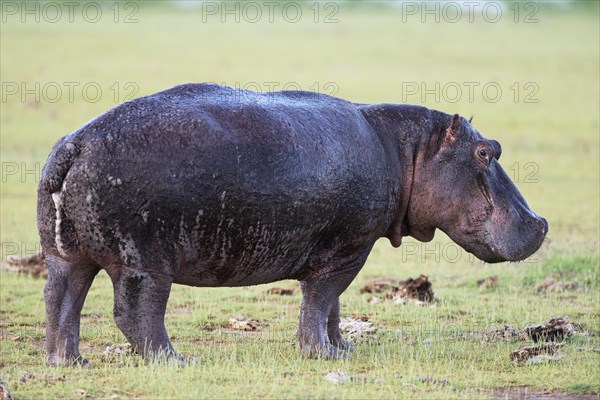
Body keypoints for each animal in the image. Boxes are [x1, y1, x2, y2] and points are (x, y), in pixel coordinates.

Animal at [35, 83, 548, 364]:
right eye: (486, 152)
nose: (541, 223)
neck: (410, 151)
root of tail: (76, 143)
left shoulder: (343, 251)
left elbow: (332, 307)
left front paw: (343, 351)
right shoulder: (348, 251)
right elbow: (321, 302)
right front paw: (320, 354)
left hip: (66, 254)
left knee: (62, 299)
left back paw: (70, 364)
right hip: (145, 260)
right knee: (136, 312)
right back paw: (175, 362)